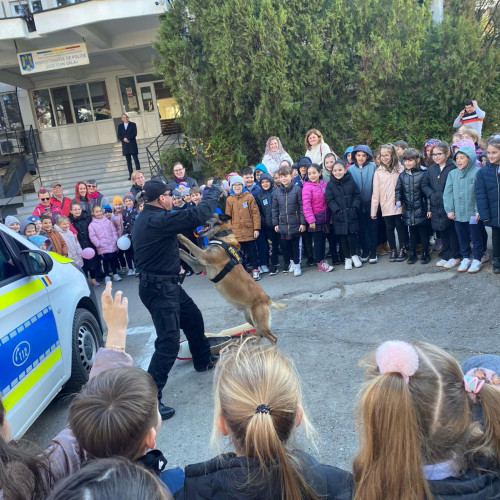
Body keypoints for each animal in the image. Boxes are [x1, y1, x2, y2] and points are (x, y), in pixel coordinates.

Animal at [179, 213, 288, 342]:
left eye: (207, 214)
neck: (221, 236)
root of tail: (266, 299)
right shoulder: (197, 265)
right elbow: (181, 250)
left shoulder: (203, 256)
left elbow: (187, 241)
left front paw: (178, 235)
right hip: (250, 319)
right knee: (261, 334)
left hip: (259, 323)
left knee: (273, 337)